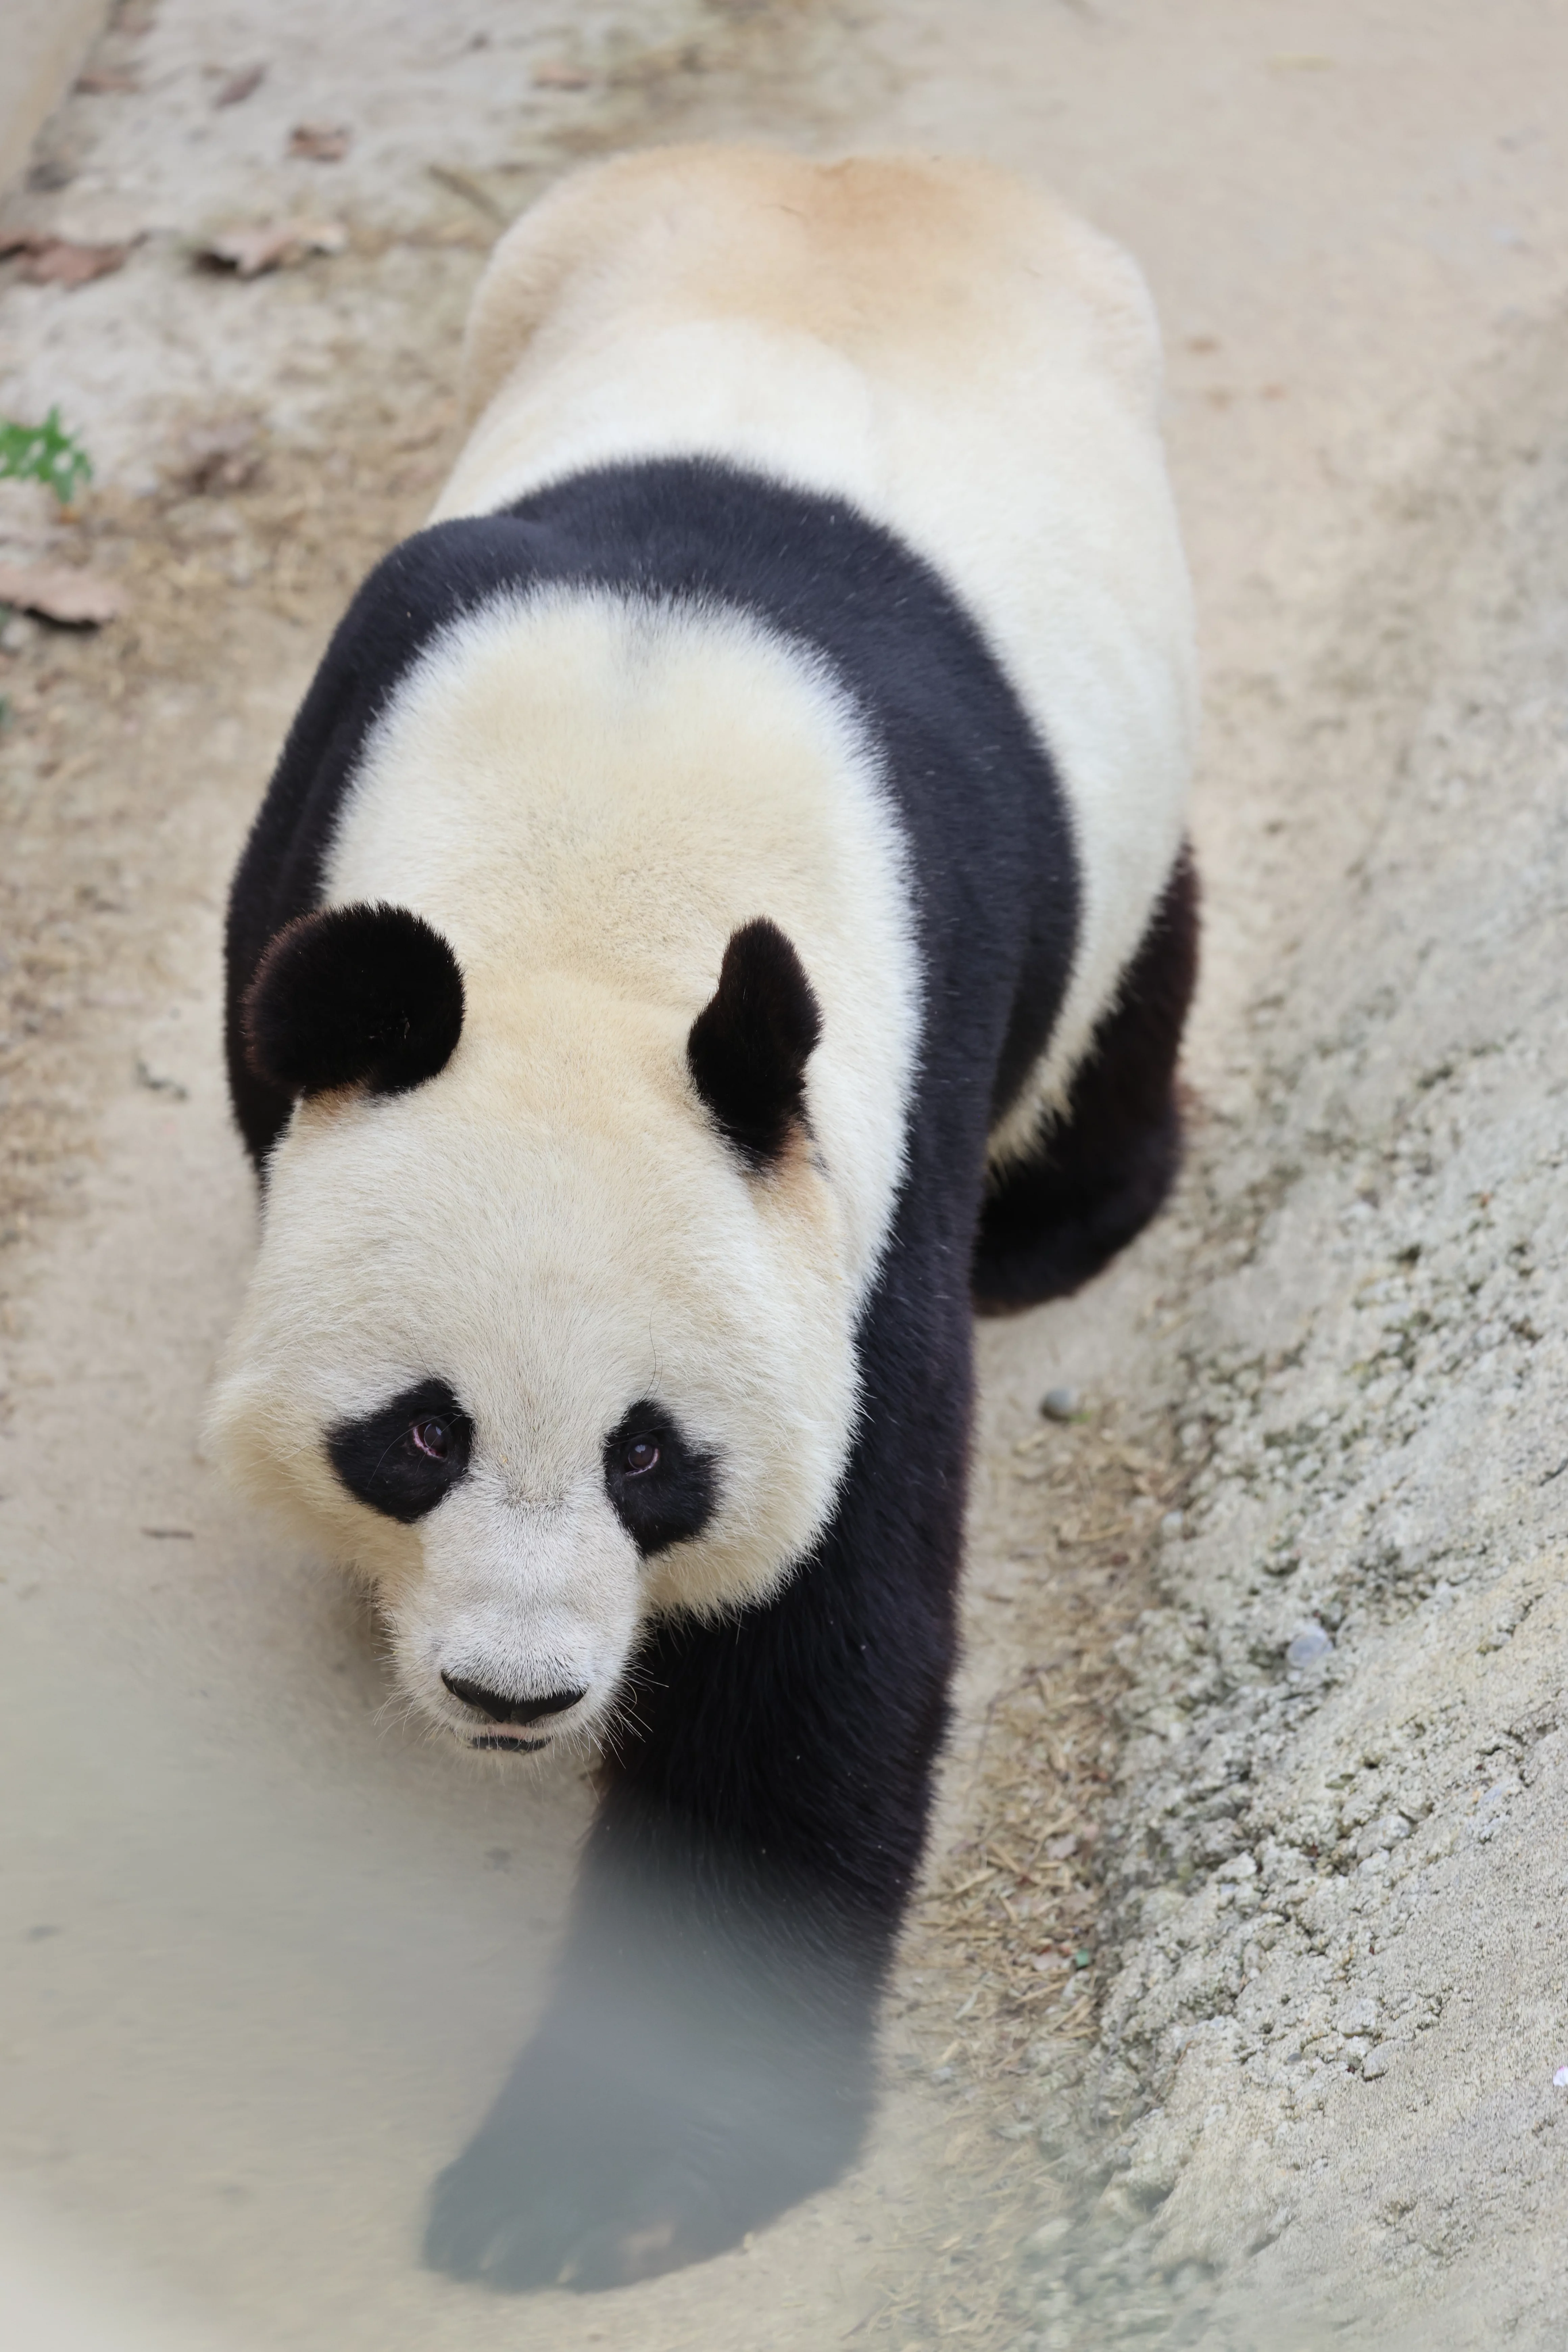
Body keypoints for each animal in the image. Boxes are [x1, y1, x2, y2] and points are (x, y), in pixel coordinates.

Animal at [211, 146, 1197, 2291]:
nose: (514, 1695)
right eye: (417, 1436)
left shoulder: (852, 1163)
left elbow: (810, 1642)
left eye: (651, 1458)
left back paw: (1066, 1216)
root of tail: (860, 168)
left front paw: (600, 2185)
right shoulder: (299, 890)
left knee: (1142, 927)